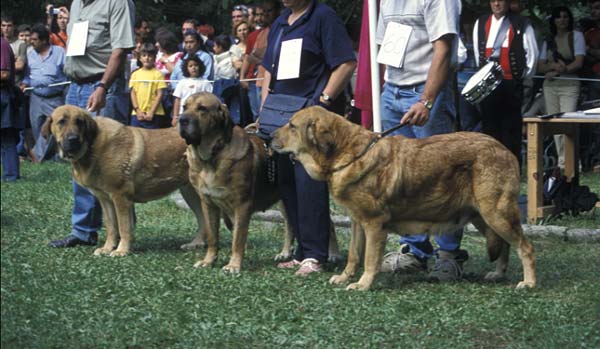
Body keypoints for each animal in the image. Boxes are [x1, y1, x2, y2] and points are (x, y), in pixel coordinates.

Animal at [41, 104, 206, 254]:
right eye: (61, 122)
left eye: (79, 122)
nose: (73, 139)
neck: (92, 146)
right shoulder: (106, 199)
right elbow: (112, 227)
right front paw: (107, 248)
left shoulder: (120, 196)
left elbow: (124, 227)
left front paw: (121, 251)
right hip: (191, 194)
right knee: (202, 220)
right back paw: (196, 244)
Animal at [176, 92, 340, 272]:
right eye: (185, 107)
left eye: (202, 108)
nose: (182, 120)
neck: (212, 156)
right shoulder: (208, 204)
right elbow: (213, 236)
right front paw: (208, 261)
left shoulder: (242, 205)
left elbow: (238, 238)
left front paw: (233, 265)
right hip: (285, 199)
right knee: (290, 224)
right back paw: (285, 253)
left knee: (328, 224)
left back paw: (333, 255)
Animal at [270, 106, 536, 290]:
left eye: (292, 126)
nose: (269, 138)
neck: (350, 154)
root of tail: (506, 150)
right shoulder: (358, 222)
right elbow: (354, 256)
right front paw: (345, 277)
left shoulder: (374, 224)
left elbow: (370, 259)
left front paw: (363, 284)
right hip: (483, 216)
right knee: (504, 245)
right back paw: (499, 274)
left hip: (496, 213)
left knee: (525, 247)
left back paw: (529, 282)